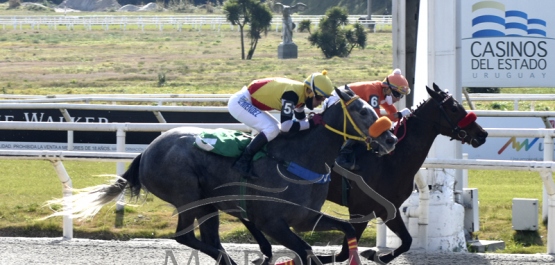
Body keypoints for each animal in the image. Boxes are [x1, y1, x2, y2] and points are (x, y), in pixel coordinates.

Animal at [45, 86, 398, 264]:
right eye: (364, 110)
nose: (391, 138)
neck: (300, 158)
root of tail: (147, 151)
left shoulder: (305, 218)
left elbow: (346, 230)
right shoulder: (273, 223)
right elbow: (306, 252)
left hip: (209, 206)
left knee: (208, 239)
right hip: (189, 198)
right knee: (185, 237)